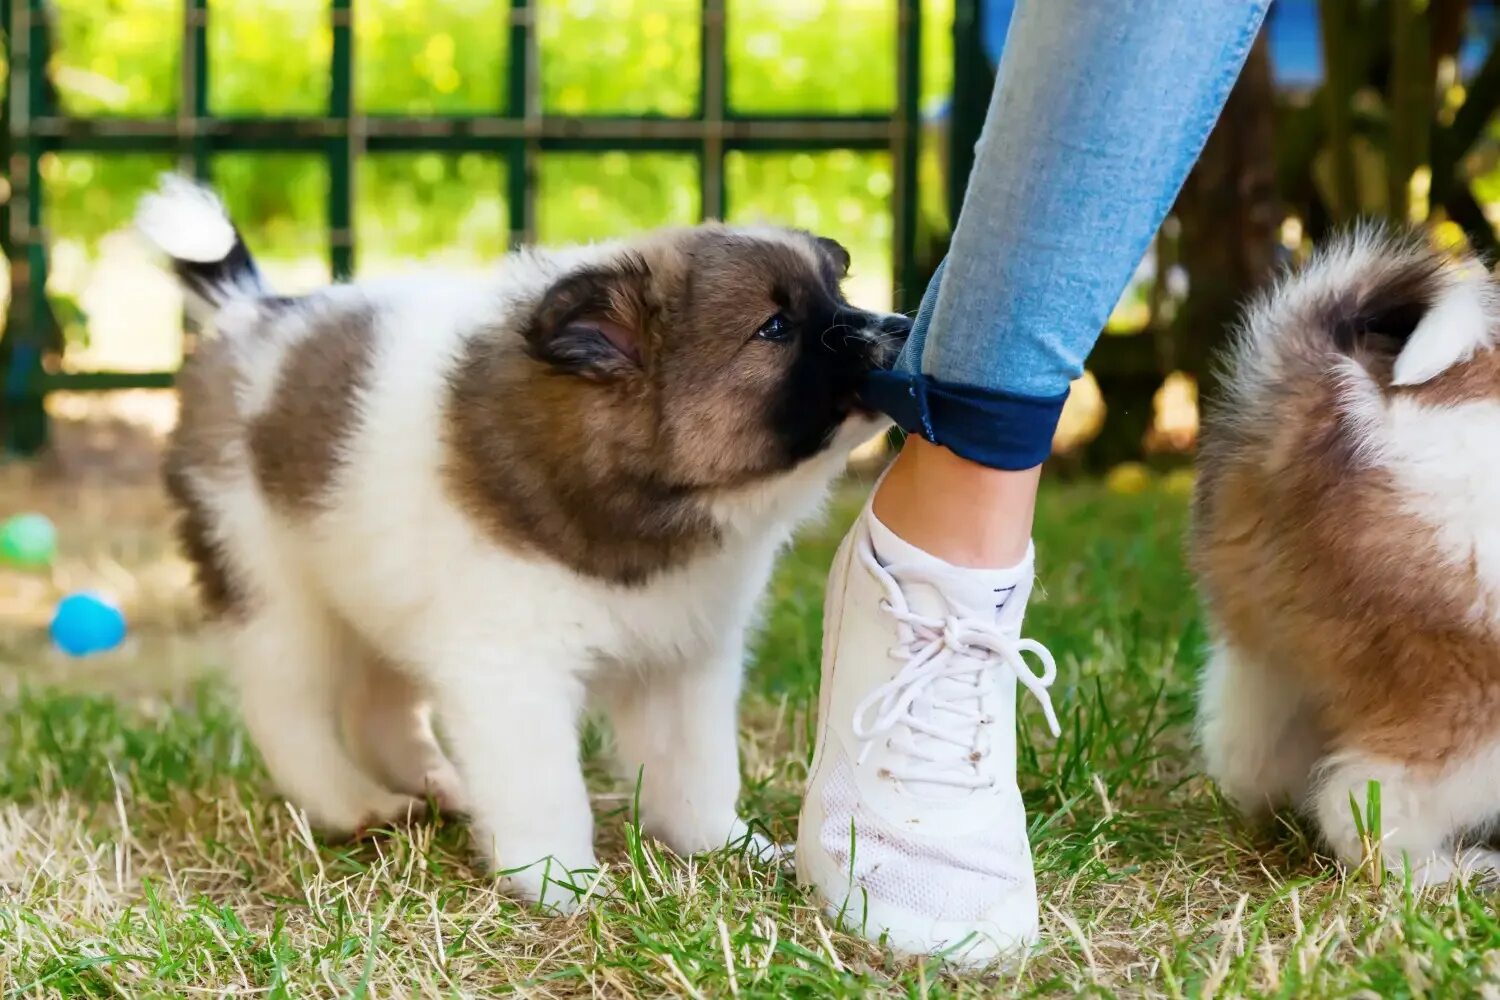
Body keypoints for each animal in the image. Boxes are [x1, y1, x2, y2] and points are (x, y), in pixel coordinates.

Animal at [141, 173, 906, 905]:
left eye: (837, 291)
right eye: (775, 327)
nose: (899, 327)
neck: (642, 503)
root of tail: (250, 313)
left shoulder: (681, 661)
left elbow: (696, 768)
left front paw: (723, 846)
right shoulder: (511, 668)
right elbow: (544, 786)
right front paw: (560, 881)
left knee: (378, 705)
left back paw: (434, 782)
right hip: (276, 593)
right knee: (287, 711)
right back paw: (352, 803)